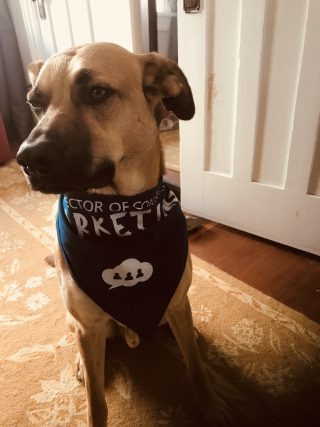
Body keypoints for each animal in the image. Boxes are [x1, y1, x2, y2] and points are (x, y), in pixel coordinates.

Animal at [16, 43, 231, 427]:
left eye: (97, 92)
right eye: (35, 103)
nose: (26, 158)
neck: (120, 216)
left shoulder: (178, 303)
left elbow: (196, 368)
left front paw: (209, 405)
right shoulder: (88, 327)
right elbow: (96, 404)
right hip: (80, 324)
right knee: (78, 340)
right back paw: (81, 363)